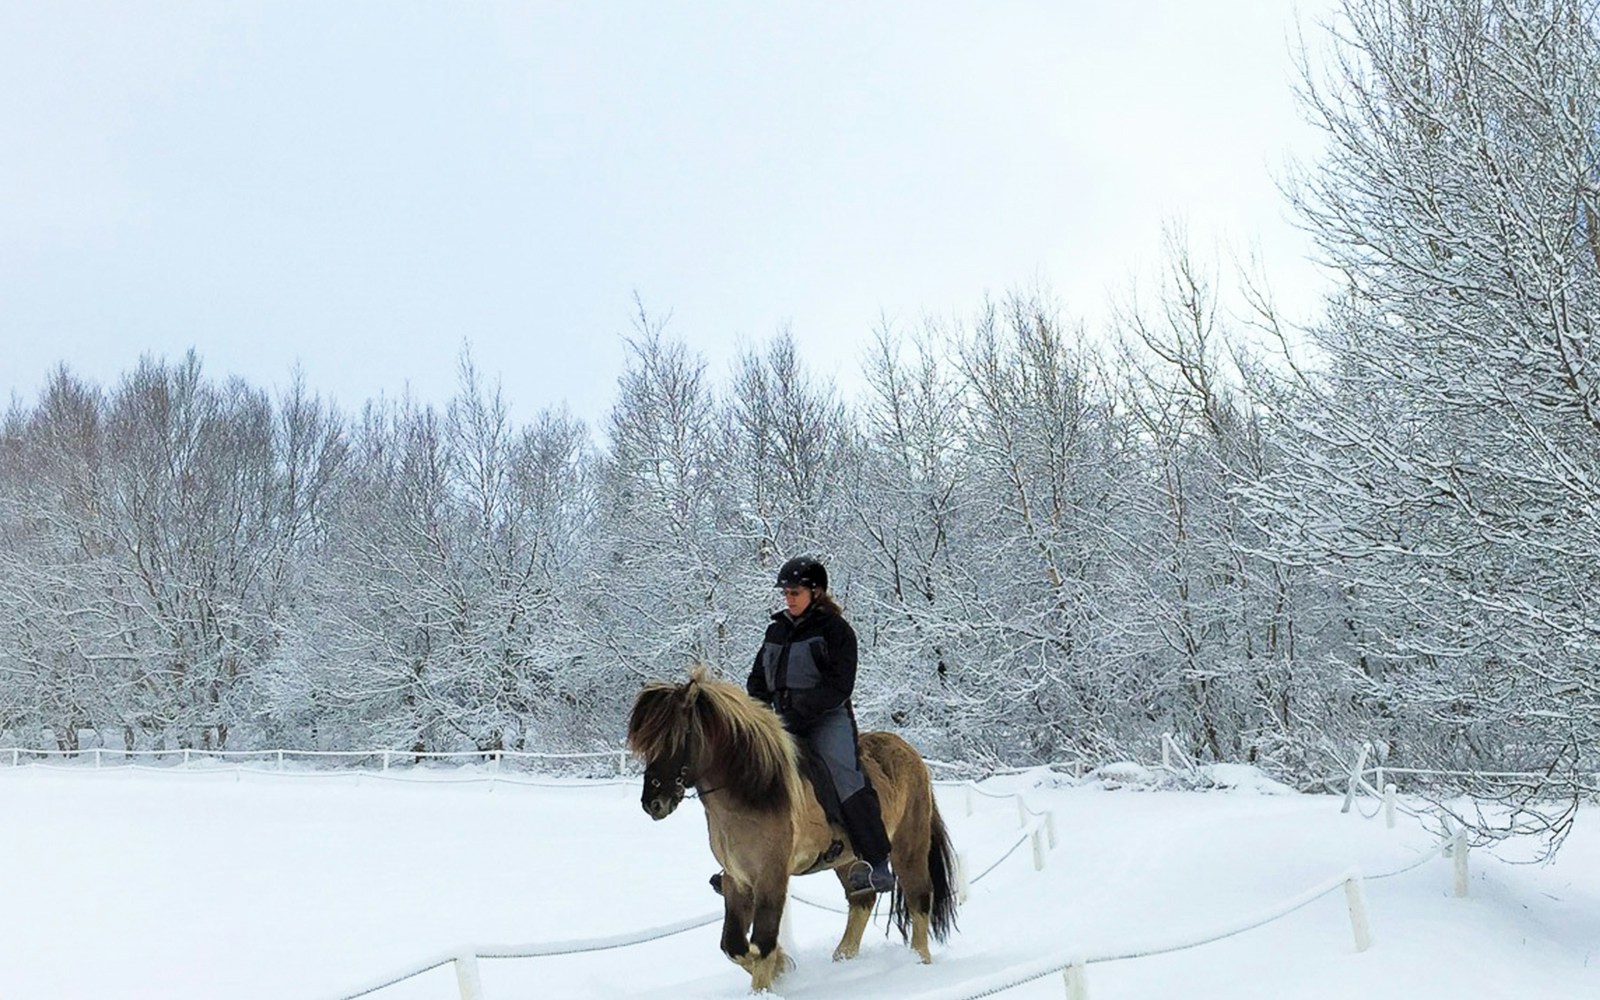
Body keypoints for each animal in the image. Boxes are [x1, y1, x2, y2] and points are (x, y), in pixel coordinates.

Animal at [620, 662, 947, 992]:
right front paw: (783, 966)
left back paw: (919, 961)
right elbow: (733, 945)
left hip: (909, 846)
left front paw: (765, 985)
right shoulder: (737, 880)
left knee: (919, 898)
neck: (754, 792)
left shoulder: (771, 878)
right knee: (861, 900)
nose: (653, 803)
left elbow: (761, 942)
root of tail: (910, 753)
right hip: (847, 861)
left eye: (674, 736)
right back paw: (842, 959)